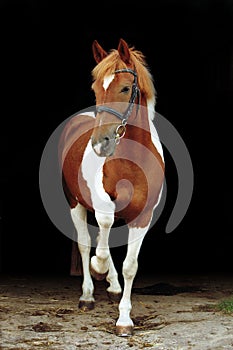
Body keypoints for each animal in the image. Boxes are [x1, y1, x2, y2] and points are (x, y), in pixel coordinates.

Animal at [60, 38, 166, 336]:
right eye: (96, 88)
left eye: (126, 88)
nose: (100, 144)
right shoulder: (102, 205)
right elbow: (101, 236)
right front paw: (99, 267)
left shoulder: (142, 217)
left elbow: (130, 266)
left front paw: (124, 320)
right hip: (74, 202)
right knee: (86, 243)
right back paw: (87, 293)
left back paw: (114, 286)